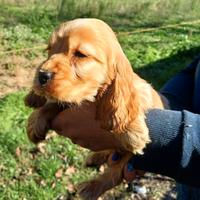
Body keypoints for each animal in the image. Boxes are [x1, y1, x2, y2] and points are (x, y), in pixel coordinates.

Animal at [24, 18, 167, 199]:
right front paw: (35, 124)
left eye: (80, 54)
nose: (42, 75)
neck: (93, 98)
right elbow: (53, 104)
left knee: (114, 173)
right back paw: (95, 158)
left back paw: (91, 188)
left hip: (130, 161)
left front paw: (130, 129)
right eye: (50, 49)